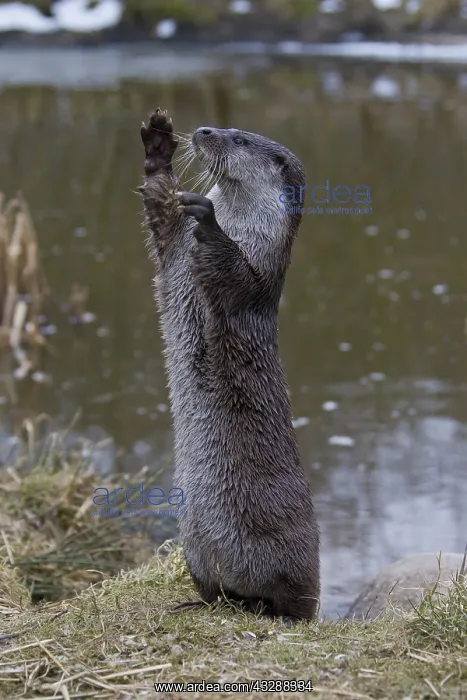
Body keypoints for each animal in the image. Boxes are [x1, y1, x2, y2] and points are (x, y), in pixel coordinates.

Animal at [139, 109, 320, 620]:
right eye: (220, 127)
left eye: (238, 138)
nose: (203, 132)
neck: (246, 226)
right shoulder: (173, 245)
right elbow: (160, 209)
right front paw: (157, 145)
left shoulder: (256, 277)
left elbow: (235, 273)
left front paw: (209, 220)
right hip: (194, 547)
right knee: (215, 588)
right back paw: (203, 600)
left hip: (291, 553)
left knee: (298, 599)